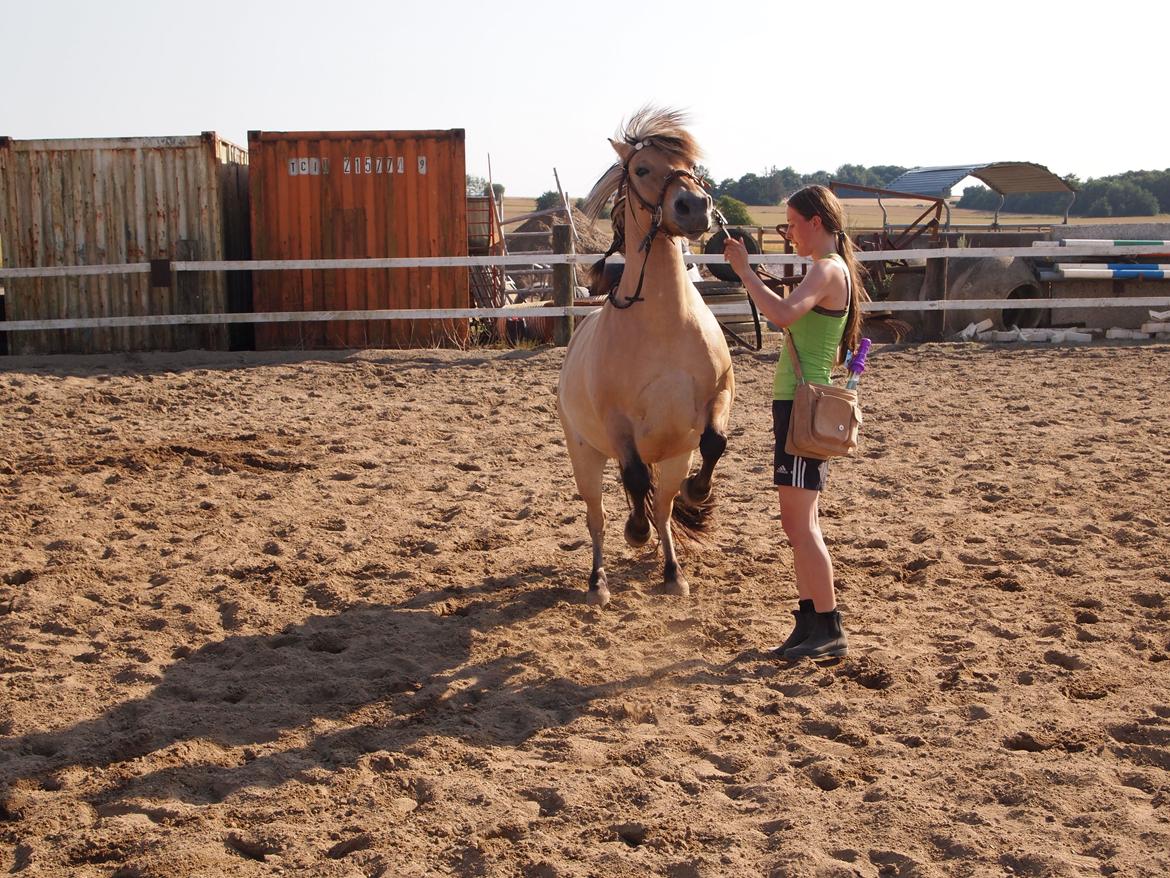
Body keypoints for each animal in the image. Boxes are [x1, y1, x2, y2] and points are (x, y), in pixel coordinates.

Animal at [556, 106, 730, 608]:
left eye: (691, 162)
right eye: (641, 170)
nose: (695, 207)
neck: (664, 324)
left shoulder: (718, 397)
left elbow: (715, 443)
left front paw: (698, 492)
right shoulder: (618, 423)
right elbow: (633, 479)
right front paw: (634, 532)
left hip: (672, 457)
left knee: (666, 509)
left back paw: (673, 573)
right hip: (585, 456)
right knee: (597, 517)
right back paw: (598, 582)